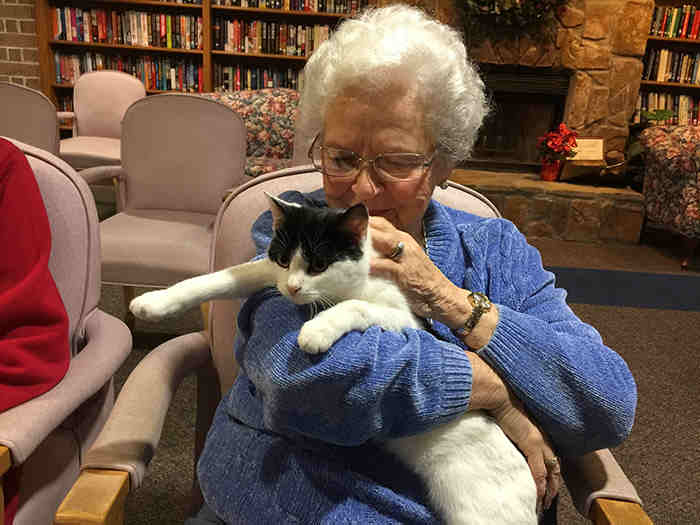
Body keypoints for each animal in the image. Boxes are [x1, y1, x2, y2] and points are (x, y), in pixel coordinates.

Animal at [130, 194, 536, 520]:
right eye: (283, 259)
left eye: (319, 265)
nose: (292, 288)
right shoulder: (266, 271)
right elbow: (222, 276)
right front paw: (156, 302)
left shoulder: (406, 318)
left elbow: (356, 306)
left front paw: (316, 331)